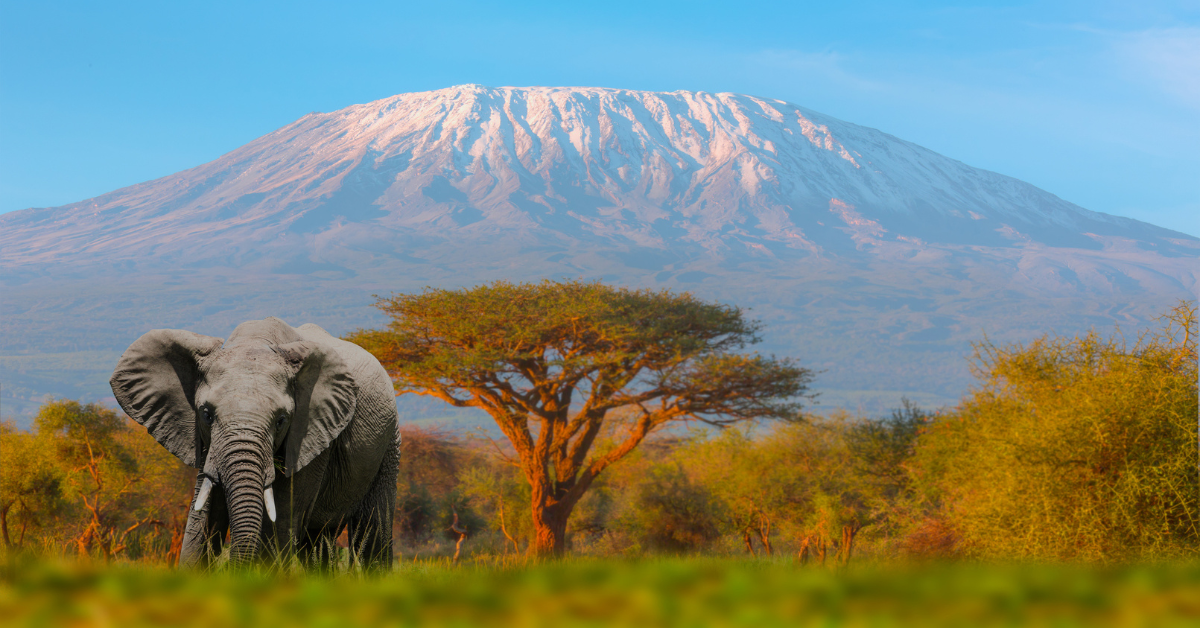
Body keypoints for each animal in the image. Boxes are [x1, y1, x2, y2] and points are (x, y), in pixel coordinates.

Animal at [109, 316, 400, 569]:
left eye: (281, 420)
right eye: (206, 414)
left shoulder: (311, 438)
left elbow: (279, 524)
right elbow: (201, 521)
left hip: (389, 439)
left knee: (372, 533)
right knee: (318, 544)